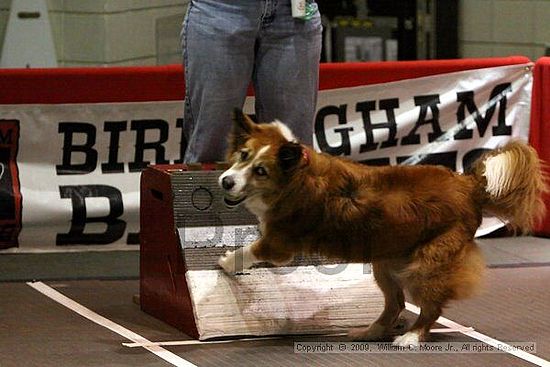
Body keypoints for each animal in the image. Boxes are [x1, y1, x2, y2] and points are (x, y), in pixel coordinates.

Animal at [217, 108, 548, 348]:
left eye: (261, 170)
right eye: (243, 155)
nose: (226, 181)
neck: (296, 175)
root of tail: (468, 185)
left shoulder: (280, 241)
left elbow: (250, 249)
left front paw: (228, 263)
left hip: (427, 263)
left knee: (430, 307)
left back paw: (411, 337)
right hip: (386, 264)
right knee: (395, 304)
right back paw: (369, 331)